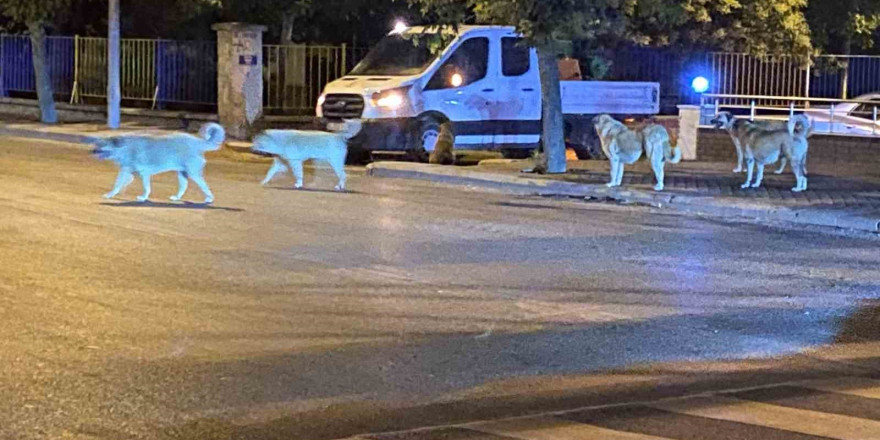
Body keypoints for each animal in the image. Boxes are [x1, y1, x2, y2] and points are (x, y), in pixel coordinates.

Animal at [90, 121, 223, 202]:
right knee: (183, 186)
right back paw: (177, 197)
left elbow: (144, 187)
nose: (92, 151)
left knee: (204, 186)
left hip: (193, 173)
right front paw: (115, 194)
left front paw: (143, 197)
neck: (123, 147)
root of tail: (197, 142)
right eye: (98, 143)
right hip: (182, 173)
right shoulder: (128, 172)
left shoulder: (143, 173)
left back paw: (209, 198)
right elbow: (119, 184)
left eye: (102, 145)